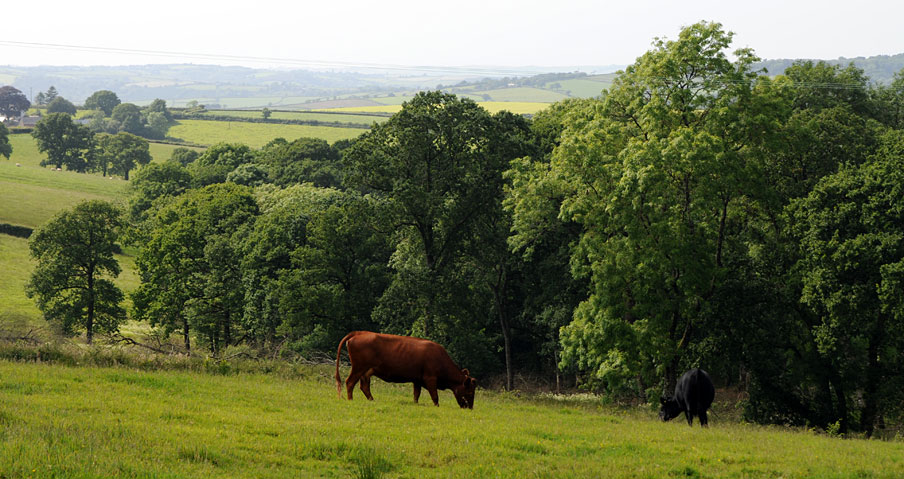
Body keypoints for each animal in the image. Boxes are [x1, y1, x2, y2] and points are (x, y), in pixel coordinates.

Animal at [334, 334, 476, 408]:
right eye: (469, 391)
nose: (470, 407)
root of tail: (359, 333)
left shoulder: (417, 380)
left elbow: (416, 395)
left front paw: (415, 404)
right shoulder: (430, 378)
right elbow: (435, 396)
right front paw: (437, 407)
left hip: (366, 372)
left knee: (364, 387)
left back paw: (372, 401)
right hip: (358, 368)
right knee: (350, 382)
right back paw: (351, 400)